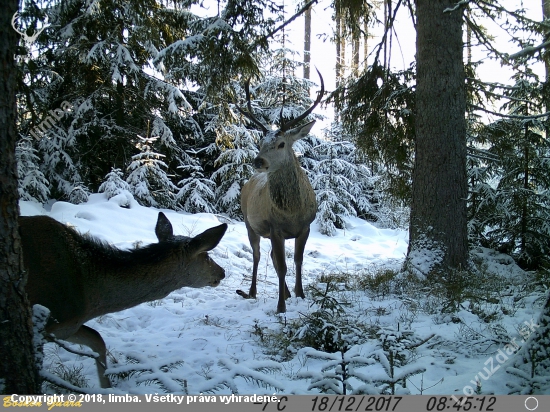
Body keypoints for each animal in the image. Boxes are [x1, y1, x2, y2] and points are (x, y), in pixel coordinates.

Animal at [21, 211, 229, 388]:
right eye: (206, 256)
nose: (222, 272)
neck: (89, 295)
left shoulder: (66, 326)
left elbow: (97, 339)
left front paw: (106, 388)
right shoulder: (48, 322)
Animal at [236, 70, 324, 312]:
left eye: (281, 143)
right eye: (260, 141)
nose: (258, 161)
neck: (292, 212)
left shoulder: (305, 226)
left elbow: (297, 260)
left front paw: (300, 294)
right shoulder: (275, 228)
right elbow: (283, 265)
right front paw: (281, 307)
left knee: (272, 257)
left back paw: (285, 292)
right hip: (249, 222)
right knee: (258, 256)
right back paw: (252, 292)